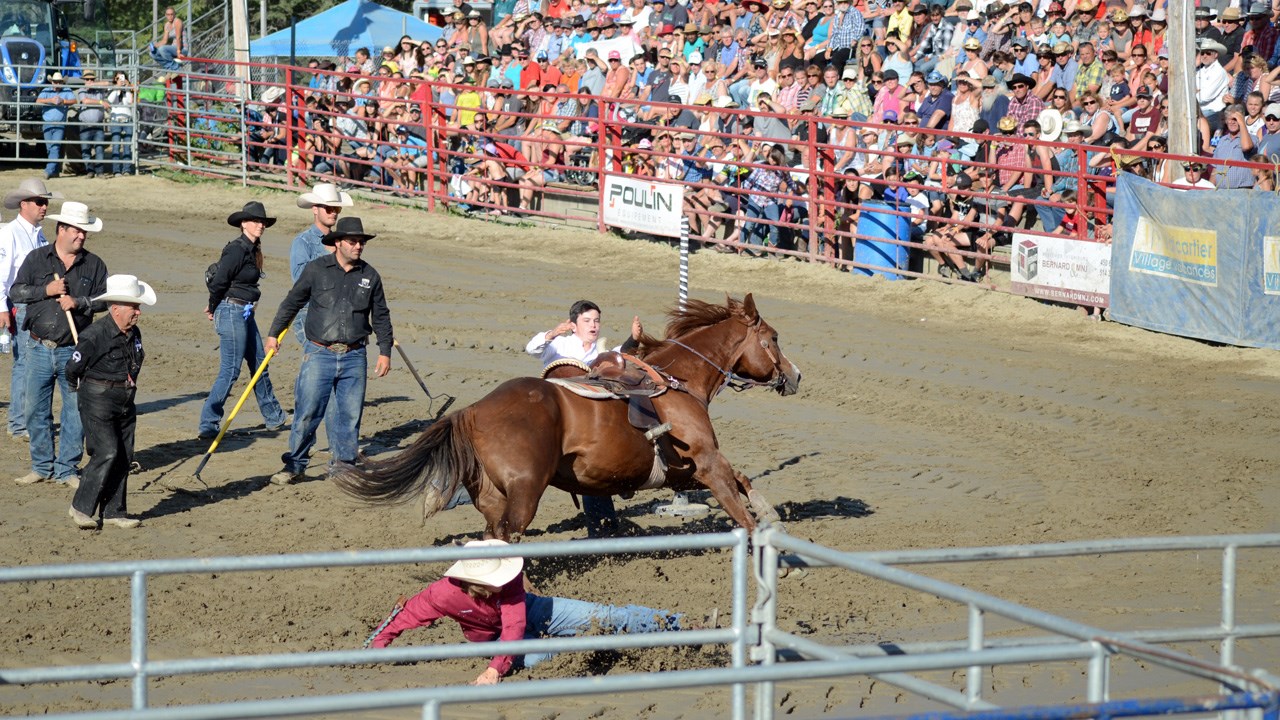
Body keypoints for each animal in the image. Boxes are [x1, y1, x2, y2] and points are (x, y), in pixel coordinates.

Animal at [335, 293, 803, 538]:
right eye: (774, 338)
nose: (796, 375)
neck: (677, 381)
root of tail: (472, 411)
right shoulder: (705, 462)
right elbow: (739, 505)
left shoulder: (683, 472)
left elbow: (742, 480)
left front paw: (770, 510)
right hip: (525, 490)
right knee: (510, 535)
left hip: (491, 494)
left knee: (493, 534)